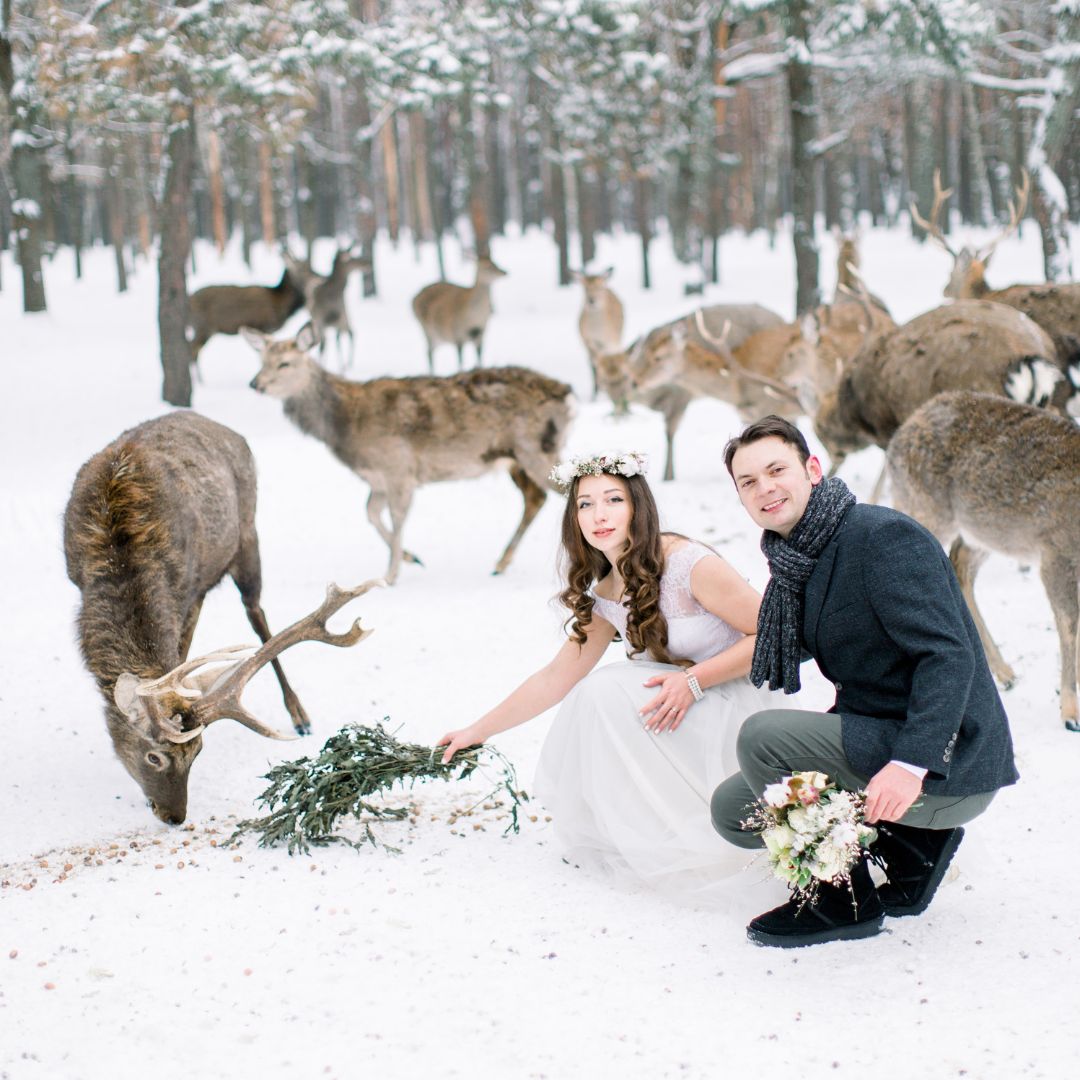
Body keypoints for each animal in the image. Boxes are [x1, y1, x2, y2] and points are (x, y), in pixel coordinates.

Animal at [65, 408, 380, 820]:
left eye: (198, 752)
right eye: (154, 757)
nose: (175, 817)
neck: (118, 556)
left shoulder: (189, 589)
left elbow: (182, 656)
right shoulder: (77, 577)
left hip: (247, 537)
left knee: (258, 616)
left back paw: (299, 713)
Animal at [240, 324, 570, 587]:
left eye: (284, 363)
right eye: (261, 360)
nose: (255, 383)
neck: (347, 425)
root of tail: (569, 395)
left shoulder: (398, 467)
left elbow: (396, 517)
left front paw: (390, 574)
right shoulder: (377, 478)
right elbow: (371, 513)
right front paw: (412, 557)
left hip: (536, 448)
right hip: (518, 458)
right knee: (535, 498)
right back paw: (501, 563)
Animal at [574, 267, 626, 399]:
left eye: (599, 287)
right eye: (585, 288)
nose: (591, 300)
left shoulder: (612, 342)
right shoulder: (588, 341)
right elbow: (596, 362)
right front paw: (597, 392)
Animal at [885, 386, 1080, 725]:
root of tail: (903, 430)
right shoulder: (1057, 550)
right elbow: (1069, 625)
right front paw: (1070, 713)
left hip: (983, 533)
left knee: (960, 566)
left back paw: (1003, 673)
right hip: (924, 507)